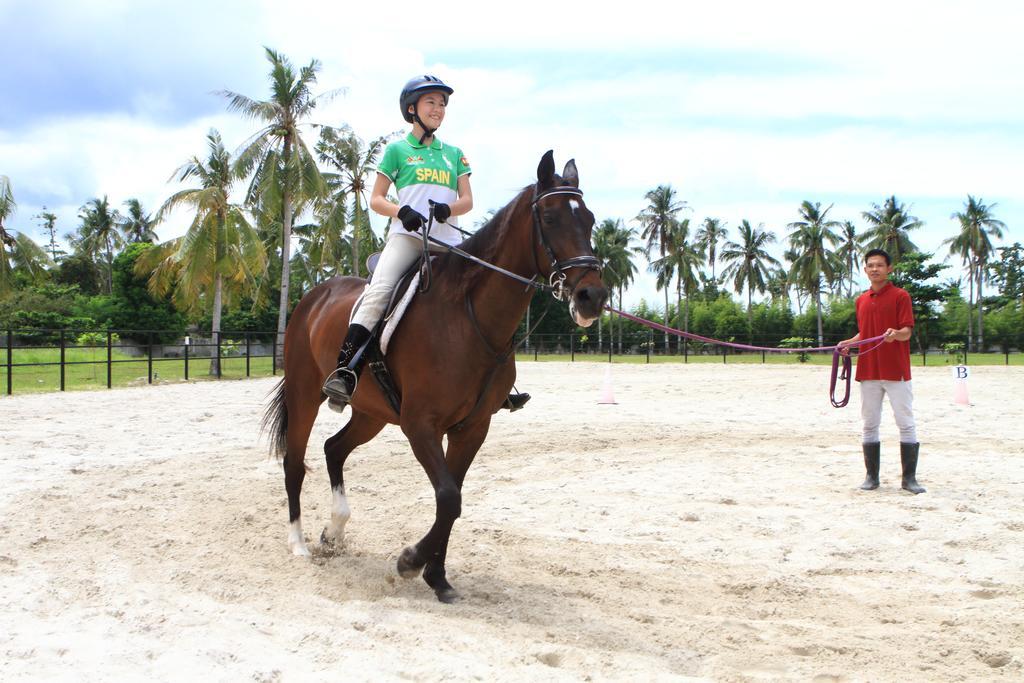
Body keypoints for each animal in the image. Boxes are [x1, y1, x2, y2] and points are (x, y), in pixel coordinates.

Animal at [260, 150, 606, 602]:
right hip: (305, 394)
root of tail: (314, 297)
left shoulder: (471, 428)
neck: (468, 319)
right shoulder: (419, 425)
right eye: (549, 218)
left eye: (591, 220)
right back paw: (298, 543)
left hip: (371, 413)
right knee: (295, 463)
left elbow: (452, 500)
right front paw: (410, 561)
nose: (592, 296)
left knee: (334, 449)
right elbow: (448, 497)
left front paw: (437, 576)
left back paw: (334, 531)